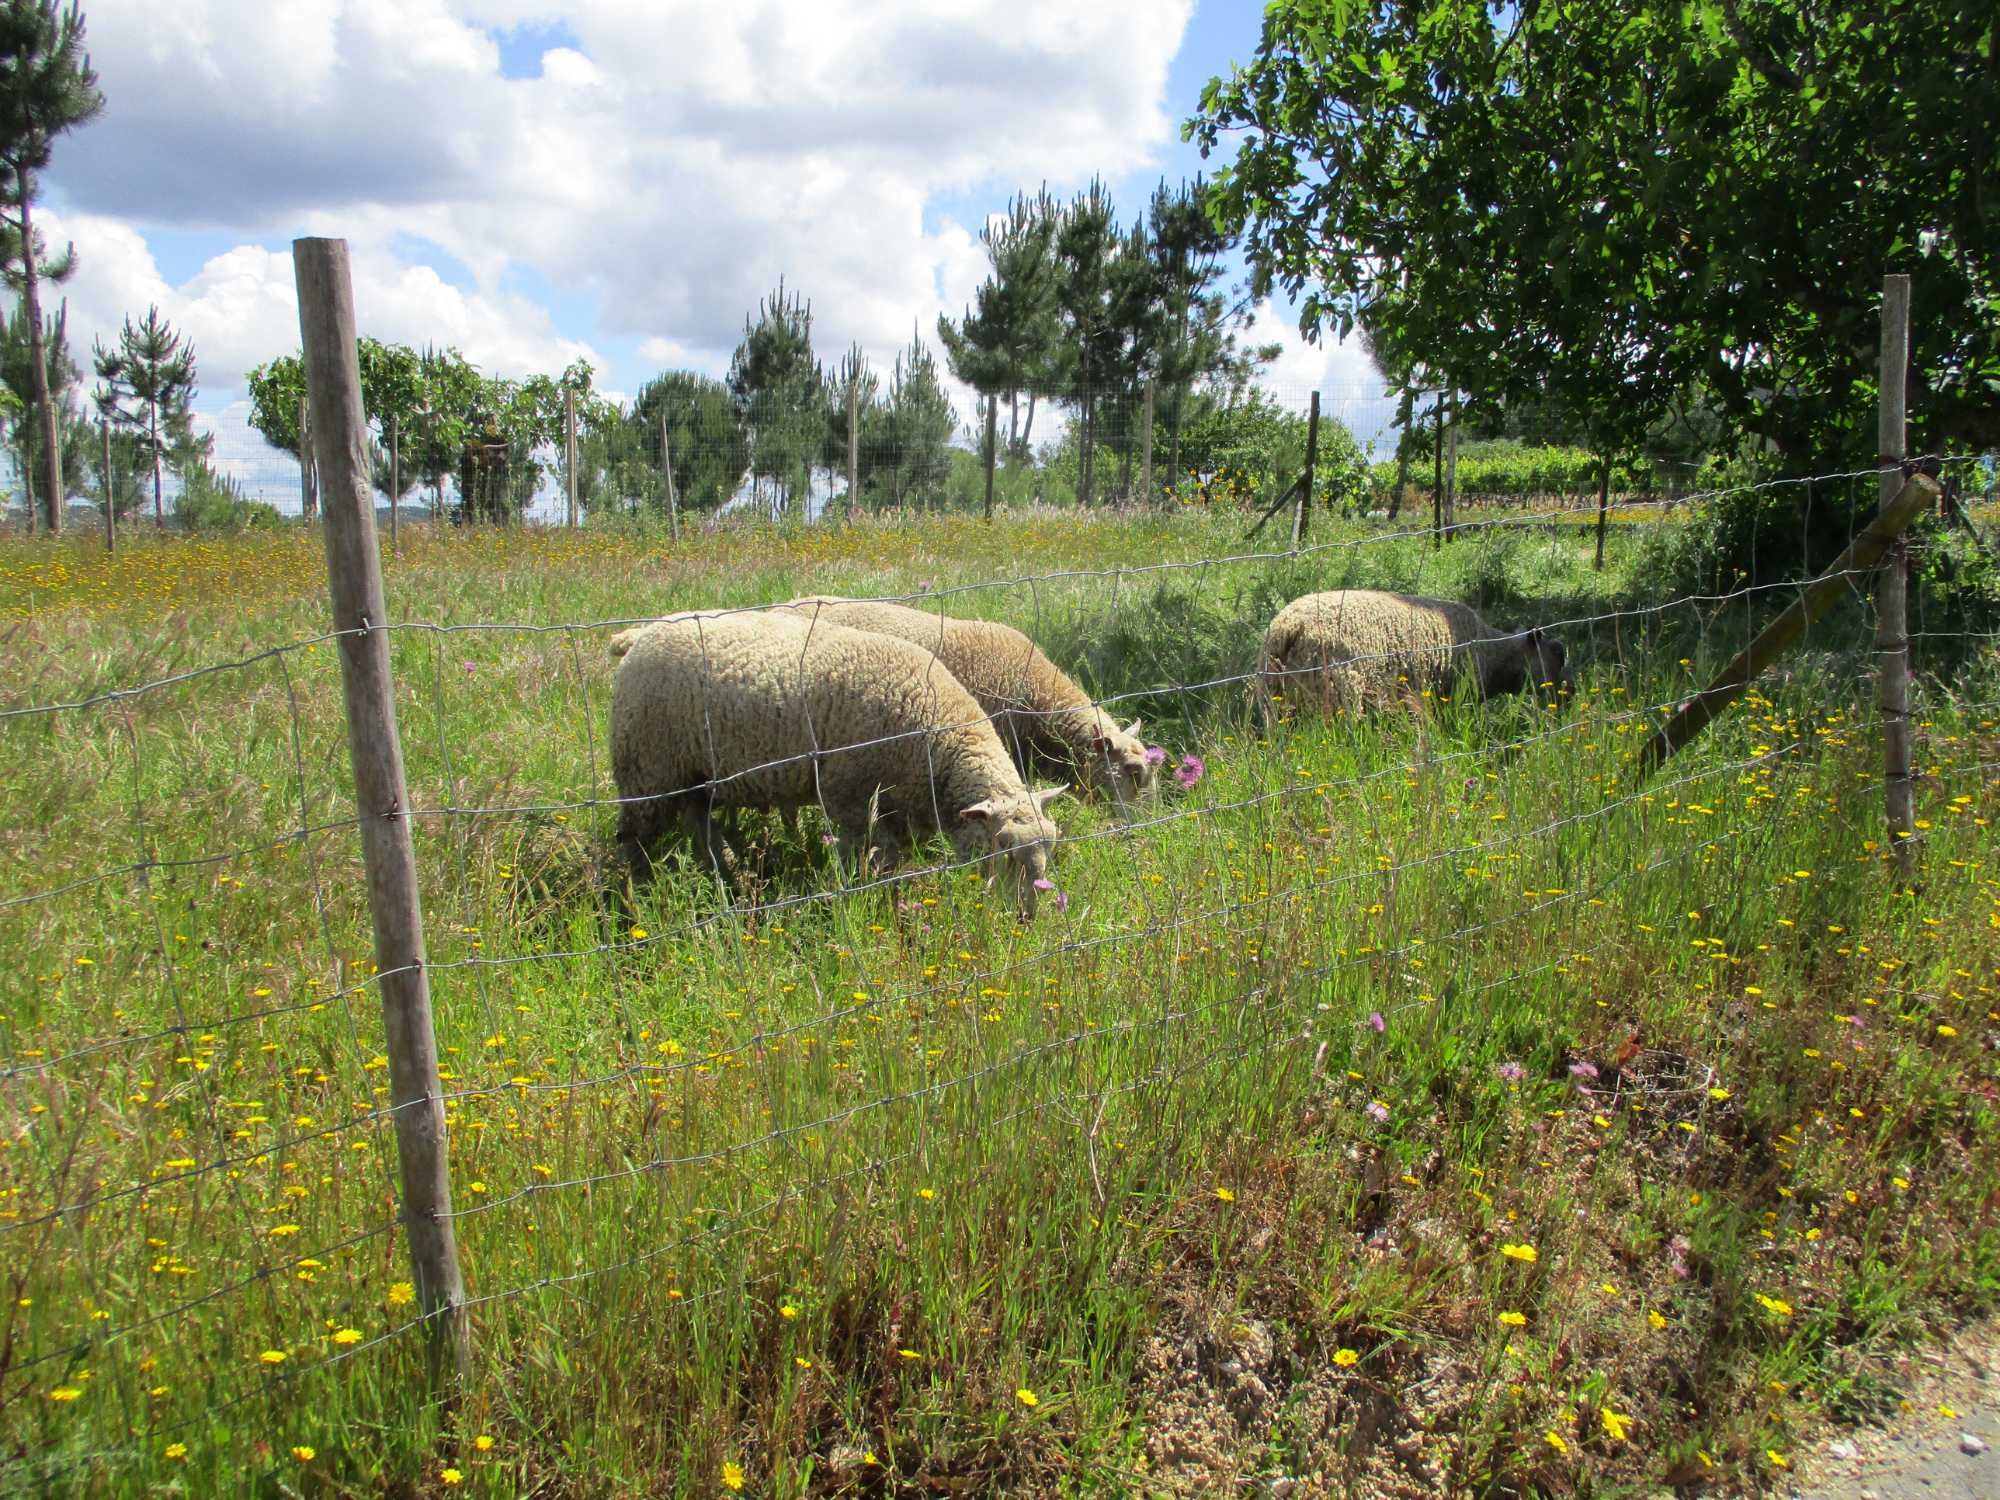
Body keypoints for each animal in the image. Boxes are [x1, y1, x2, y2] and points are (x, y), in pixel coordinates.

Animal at [608, 612, 1072, 916]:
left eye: (1051, 846)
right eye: (1004, 848)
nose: (1028, 916)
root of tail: (641, 635)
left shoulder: (896, 808)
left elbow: (890, 861)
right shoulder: (849, 797)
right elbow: (856, 857)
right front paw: (855, 894)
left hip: (693, 774)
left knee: (699, 822)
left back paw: (727, 874)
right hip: (647, 768)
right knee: (634, 840)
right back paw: (639, 898)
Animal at [1256, 592, 1568, 720]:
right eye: (1557, 653)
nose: (1572, 692)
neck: (1494, 654)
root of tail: (1288, 626)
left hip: (1277, 695)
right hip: (1337, 689)